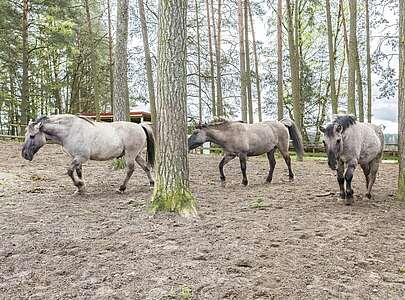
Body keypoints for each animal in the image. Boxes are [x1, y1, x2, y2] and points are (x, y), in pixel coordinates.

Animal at [21, 114, 155, 195]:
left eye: (32, 136)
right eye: (26, 134)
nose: (25, 155)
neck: (70, 131)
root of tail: (139, 125)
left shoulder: (81, 158)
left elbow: (69, 171)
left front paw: (79, 185)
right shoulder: (77, 158)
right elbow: (78, 171)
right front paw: (81, 188)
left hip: (130, 155)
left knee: (130, 169)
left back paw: (121, 188)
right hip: (137, 155)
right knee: (146, 167)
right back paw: (152, 184)